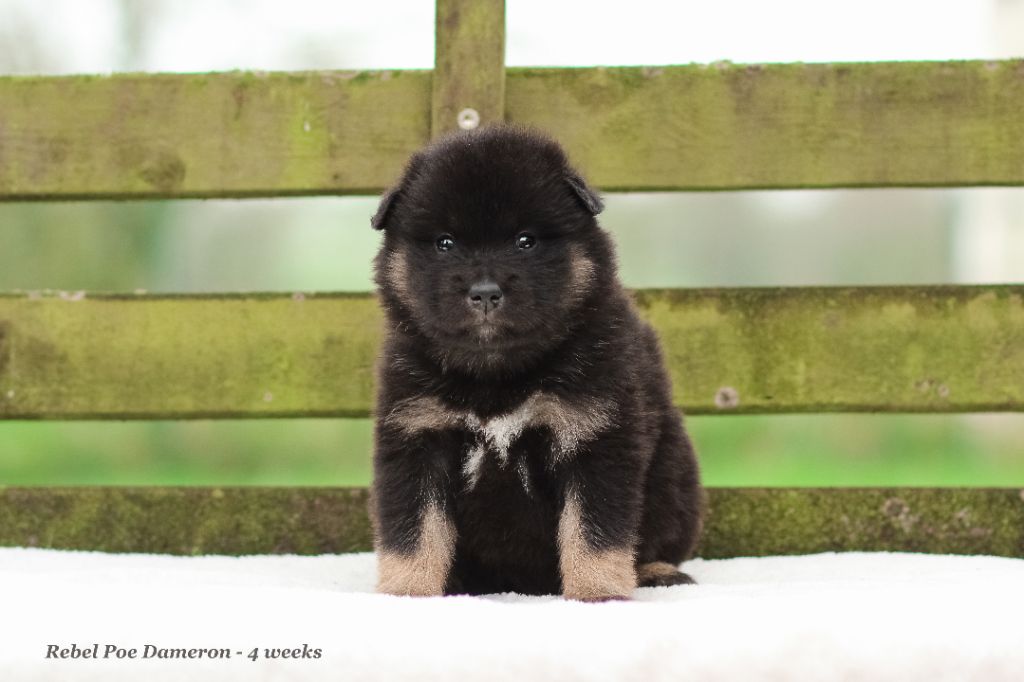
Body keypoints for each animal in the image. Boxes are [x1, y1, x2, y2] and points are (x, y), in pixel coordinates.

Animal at [368, 125, 703, 601]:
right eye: (444, 243)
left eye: (524, 241)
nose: (484, 292)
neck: (496, 375)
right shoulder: (417, 435)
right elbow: (415, 532)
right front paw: (408, 592)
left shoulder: (594, 434)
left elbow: (594, 531)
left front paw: (598, 592)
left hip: (676, 478)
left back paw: (658, 571)